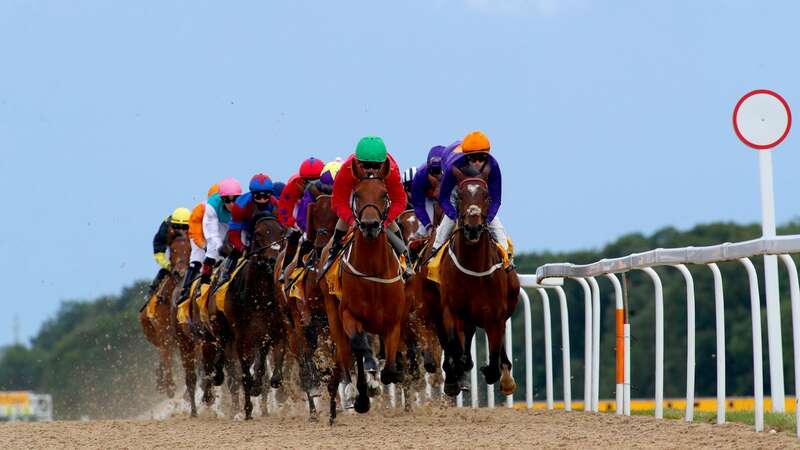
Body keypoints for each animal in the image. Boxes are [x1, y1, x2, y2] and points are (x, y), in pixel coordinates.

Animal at [139, 230, 191, 400]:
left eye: (190, 248)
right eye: (172, 250)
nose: (181, 271)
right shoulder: (166, 335)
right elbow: (166, 357)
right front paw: (168, 385)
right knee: (164, 356)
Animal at [222, 213, 288, 420]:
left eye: (281, 233)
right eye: (258, 233)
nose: (273, 260)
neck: (262, 297)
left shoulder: (275, 331)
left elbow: (272, 372)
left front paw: (267, 384)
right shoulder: (242, 338)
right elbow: (244, 374)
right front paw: (248, 408)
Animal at [318, 162, 410, 422]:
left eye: (384, 194)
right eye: (357, 194)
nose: (370, 226)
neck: (373, 272)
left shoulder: (392, 323)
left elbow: (389, 369)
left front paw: (379, 378)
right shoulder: (350, 315)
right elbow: (359, 347)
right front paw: (362, 392)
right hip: (333, 313)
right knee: (347, 351)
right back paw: (354, 390)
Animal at [438, 166, 520, 398]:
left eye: (487, 195)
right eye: (459, 195)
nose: (473, 228)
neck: (474, 271)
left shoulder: (495, 317)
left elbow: (493, 361)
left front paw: (492, 372)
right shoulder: (451, 311)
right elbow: (455, 346)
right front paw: (456, 374)